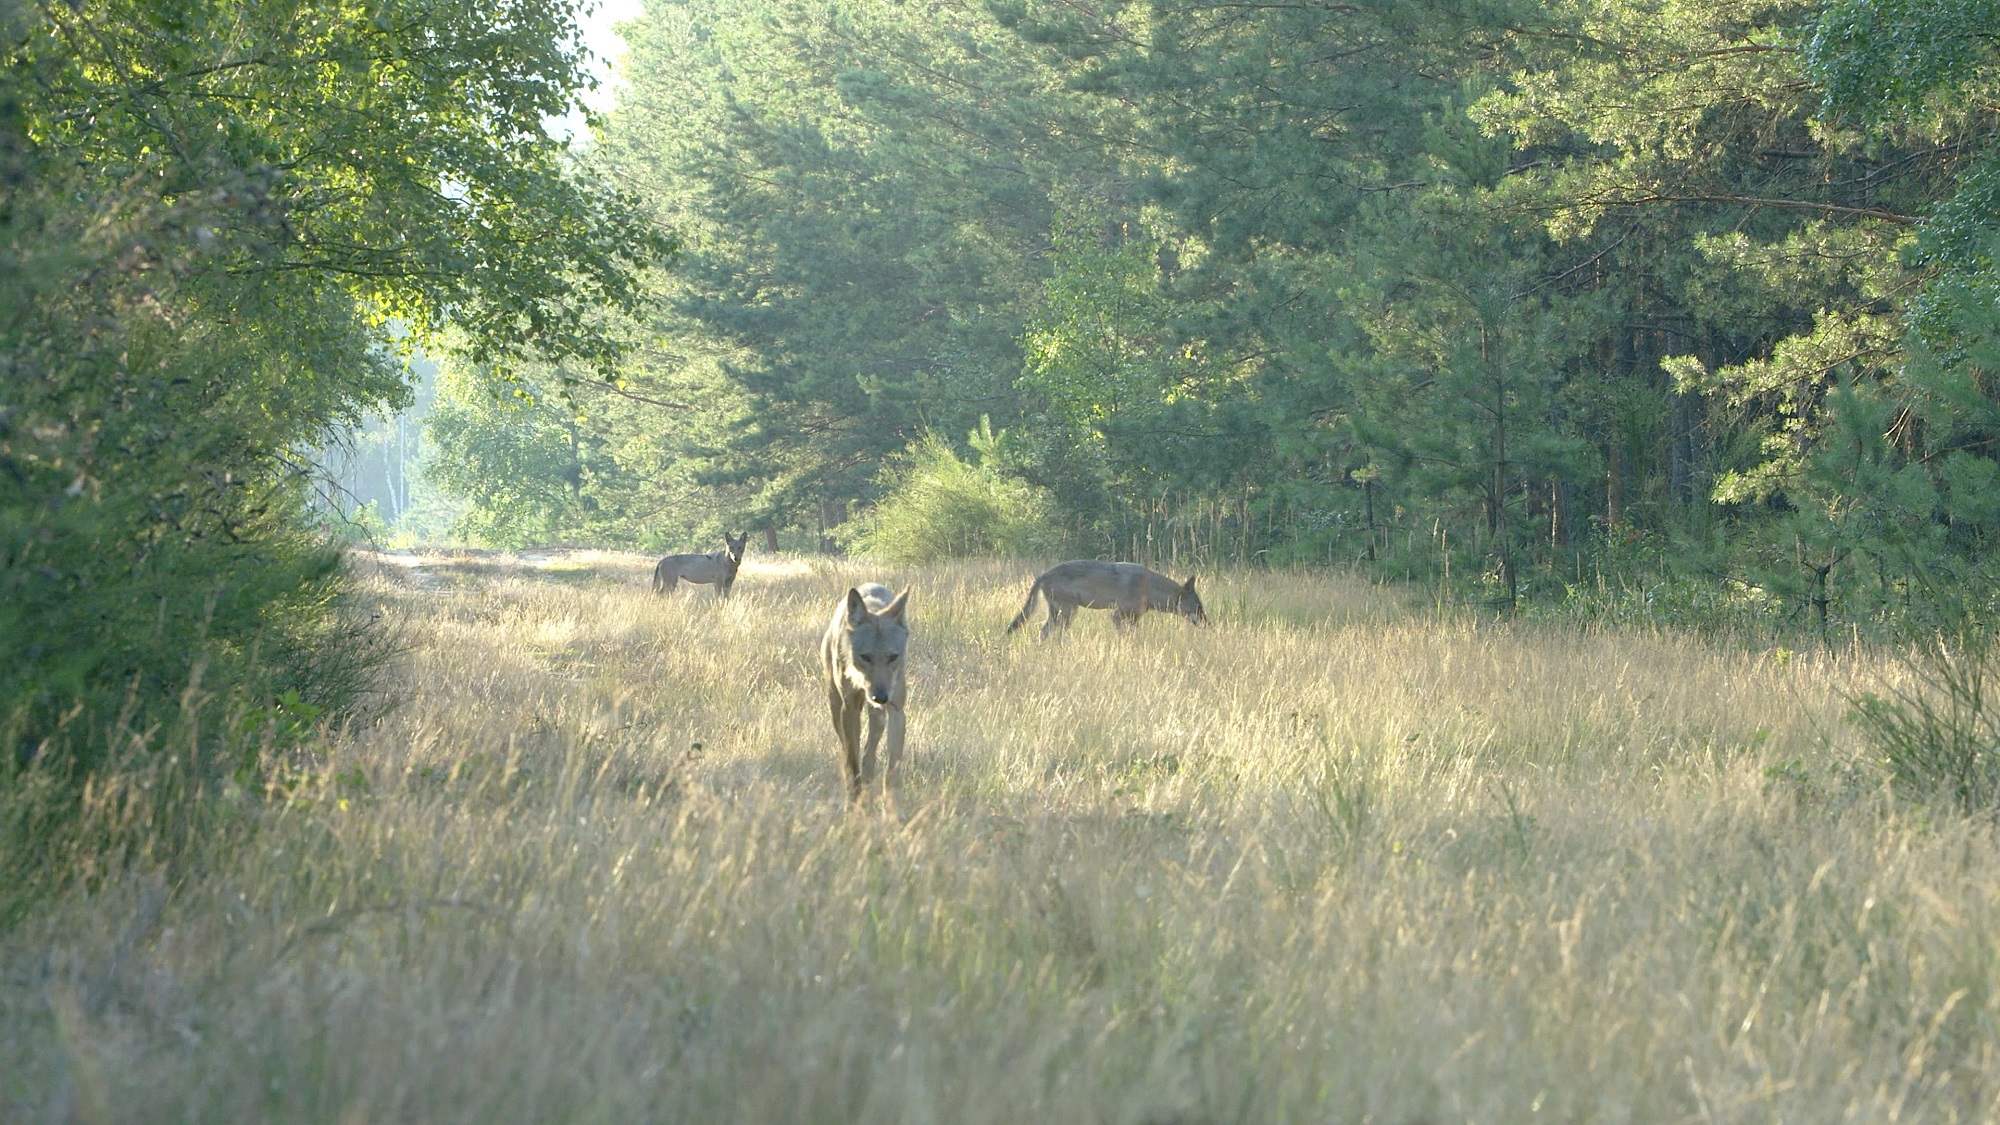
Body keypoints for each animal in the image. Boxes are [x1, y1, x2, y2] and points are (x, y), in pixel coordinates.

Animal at [820, 576, 916, 796]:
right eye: (865, 657)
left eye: (893, 657)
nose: (880, 697)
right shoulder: (850, 708)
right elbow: (852, 760)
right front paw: (856, 798)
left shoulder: (897, 710)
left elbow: (891, 769)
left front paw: (891, 802)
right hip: (836, 707)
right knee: (849, 749)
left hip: (878, 717)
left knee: (870, 751)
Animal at [1000, 556, 1200, 636]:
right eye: (1199, 607)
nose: (1206, 623)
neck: (1149, 588)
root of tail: (1042, 575)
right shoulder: (1118, 615)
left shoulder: (1133, 618)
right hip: (1068, 613)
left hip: (1058, 613)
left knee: (1044, 631)